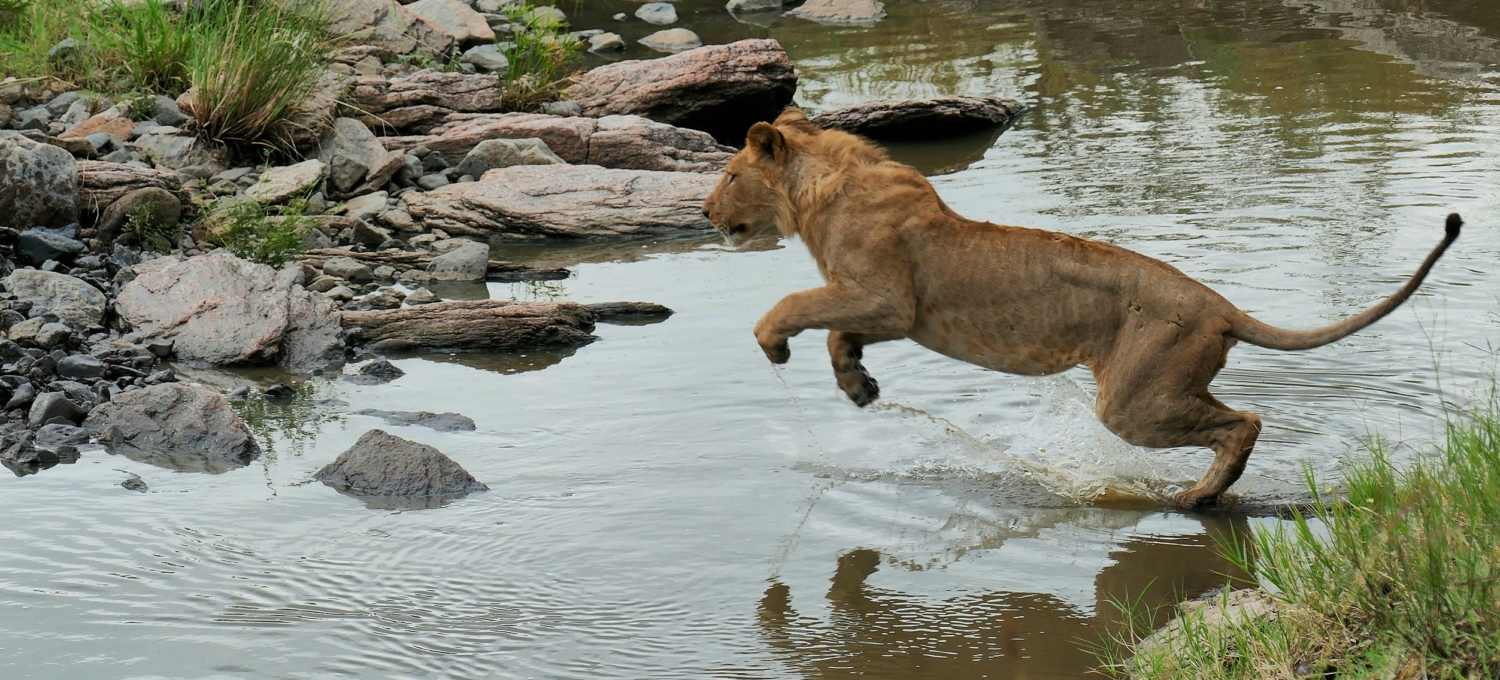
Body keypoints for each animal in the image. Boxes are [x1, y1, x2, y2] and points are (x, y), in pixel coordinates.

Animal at [702, 108, 1464, 507]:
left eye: (731, 173)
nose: (706, 212)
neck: (815, 195)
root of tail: (1221, 305)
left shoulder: (890, 300)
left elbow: (794, 302)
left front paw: (773, 344)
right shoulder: (888, 311)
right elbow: (837, 333)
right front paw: (858, 386)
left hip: (1132, 401)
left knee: (1244, 422)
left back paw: (1196, 497)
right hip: (1159, 388)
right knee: (1238, 418)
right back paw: (1203, 493)